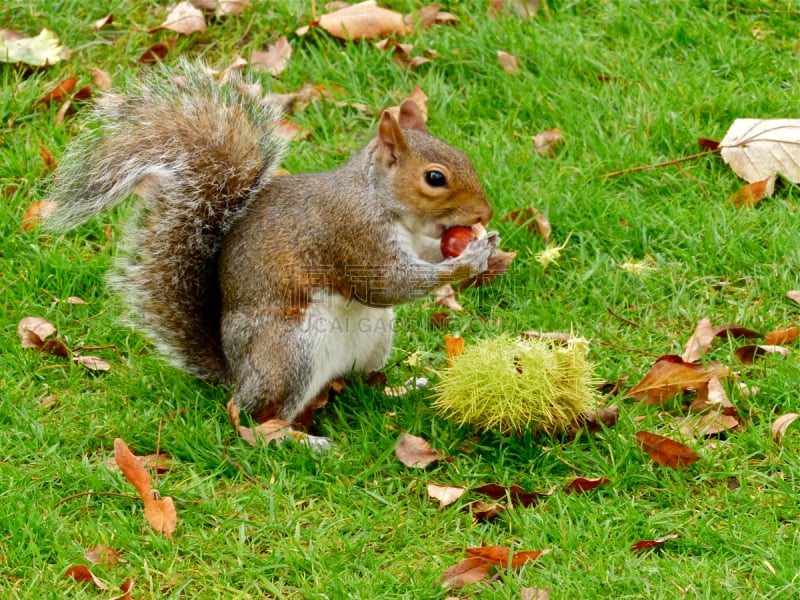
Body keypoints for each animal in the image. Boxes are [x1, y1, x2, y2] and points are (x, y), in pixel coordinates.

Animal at [47, 62, 496, 432]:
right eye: (435, 178)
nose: (486, 213)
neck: (382, 201)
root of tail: (237, 374)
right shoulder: (353, 234)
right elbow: (385, 286)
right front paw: (467, 260)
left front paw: (486, 245)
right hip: (288, 350)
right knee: (257, 415)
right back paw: (295, 439)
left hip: (373, 338)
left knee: (356, 384)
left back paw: (398, 389)